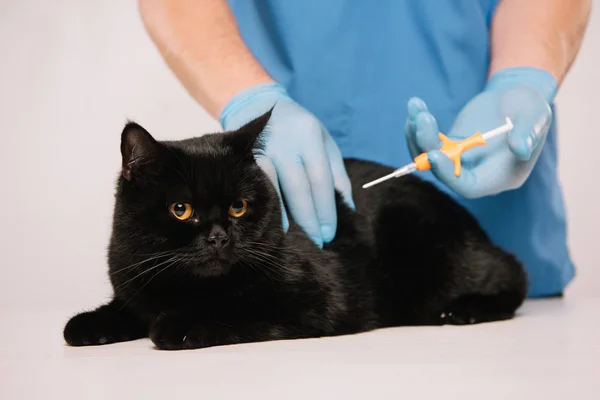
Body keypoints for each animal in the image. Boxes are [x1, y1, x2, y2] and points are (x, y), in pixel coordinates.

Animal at [63, 109, 528, 350]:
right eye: (181, 209)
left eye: (238, 207)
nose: (218, 237)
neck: (185, 288)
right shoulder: (135, 280)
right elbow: (127, 309)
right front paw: (89, 324)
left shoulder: (316, 300)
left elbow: (235, 309)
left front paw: (178, 326)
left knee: (515, 271)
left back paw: (468, 309)